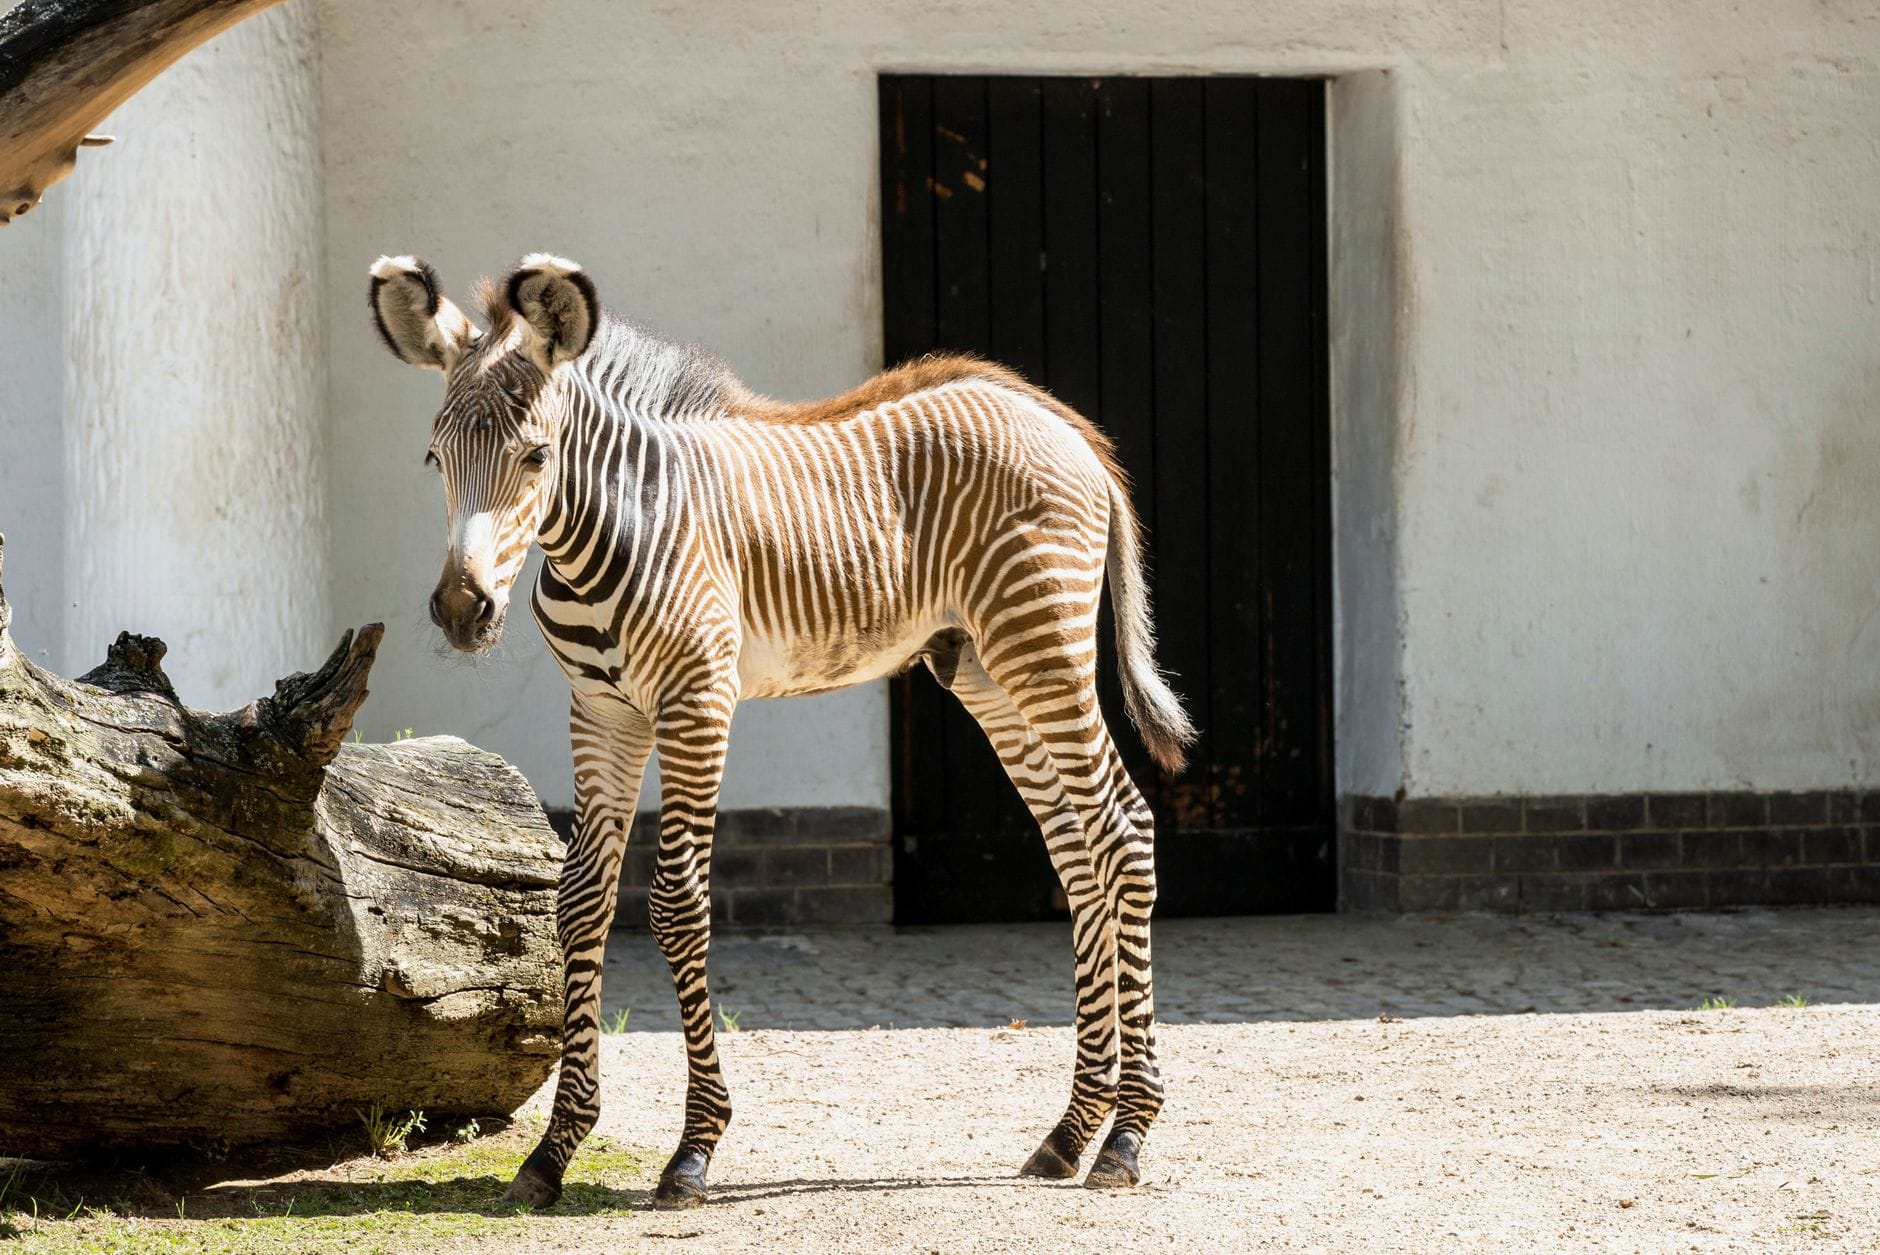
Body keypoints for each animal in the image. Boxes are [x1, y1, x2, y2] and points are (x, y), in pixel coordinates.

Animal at [368, 252, 1196, 1210]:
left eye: (536, 455)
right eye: (434, 457)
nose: (462, 612)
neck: (609, 528)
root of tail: (1060, 421)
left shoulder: (697, 700)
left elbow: (677, 902)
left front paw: (694, 1148)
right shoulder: (602, 711)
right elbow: (579, 901)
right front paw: (553, 1151)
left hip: (1042, 647)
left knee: (1121, 830)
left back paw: (1127, 1135)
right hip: (985, 669)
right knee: (1076, 847)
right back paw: (1070, 1131)